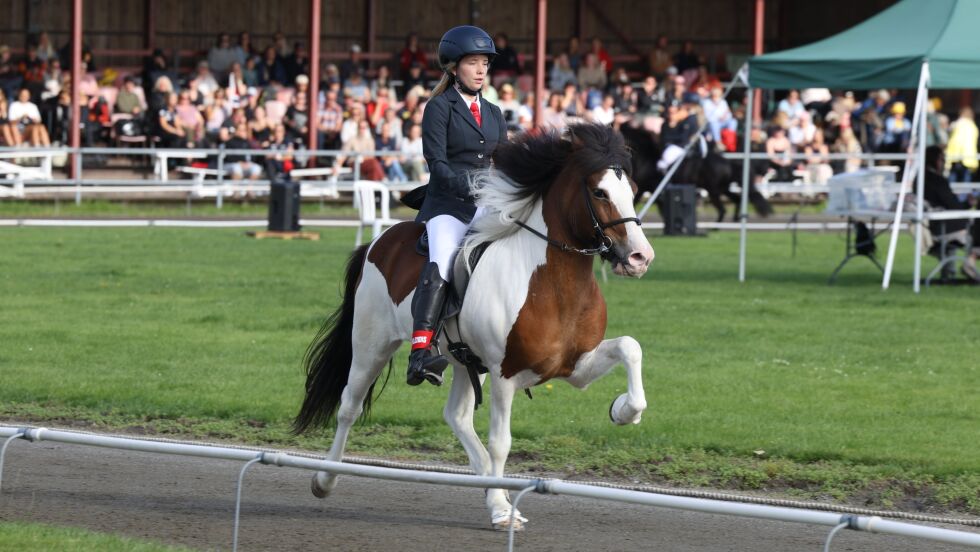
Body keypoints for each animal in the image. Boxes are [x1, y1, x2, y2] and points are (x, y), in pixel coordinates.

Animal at [294, 124, 656, 532]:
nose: (640, 257)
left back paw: (491, 489)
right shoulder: (505, 374)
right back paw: (325, 480)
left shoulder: (575, 366)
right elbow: (501, 442)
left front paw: (623, 411)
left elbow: (630, 347)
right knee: (349, 408)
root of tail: (379, 241)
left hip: (467, 363)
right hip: (372, 345)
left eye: (633, 189)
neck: (551, 281)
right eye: (599, 192)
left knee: (456, 416)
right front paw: (501, 513)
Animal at [620, 124, 772, 221]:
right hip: (722, 189)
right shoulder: (652, 190)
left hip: (713, 190)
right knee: (736, 200)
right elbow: (661, 208)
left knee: (722, 209)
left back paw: (716, 227)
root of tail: (728, 162)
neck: (646, 158)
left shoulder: (643, 188)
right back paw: (734, 220)